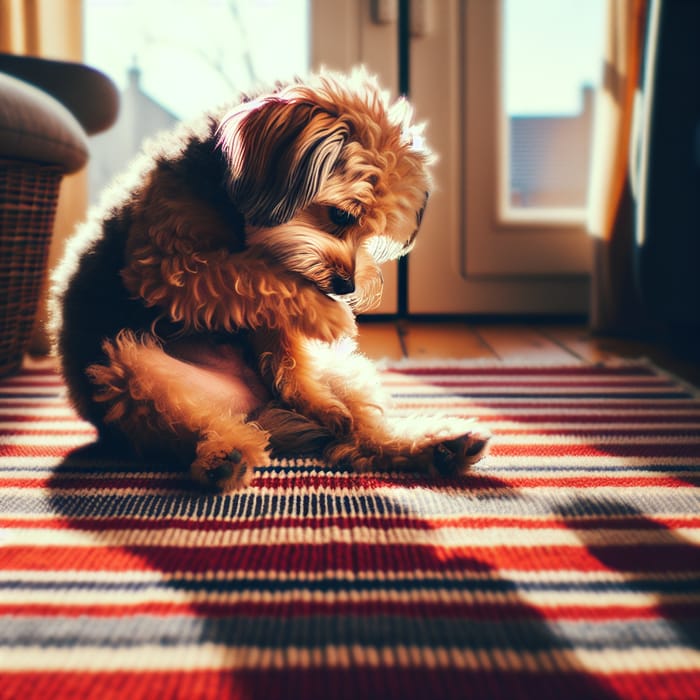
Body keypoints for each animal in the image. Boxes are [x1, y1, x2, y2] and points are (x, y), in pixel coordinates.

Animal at [49, 68, 490, 490]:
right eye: (341, 215)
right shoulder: (166, 267)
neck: (231, 204)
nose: (346, 287)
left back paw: (438, 446)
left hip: (342, 373)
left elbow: (284, 348)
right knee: (185, 422)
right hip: (128, 370)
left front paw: (313, 390)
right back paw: (223, 455)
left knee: (360, 436)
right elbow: (248, 273)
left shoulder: (266, 316)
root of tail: (254, 408)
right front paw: (329, 314)